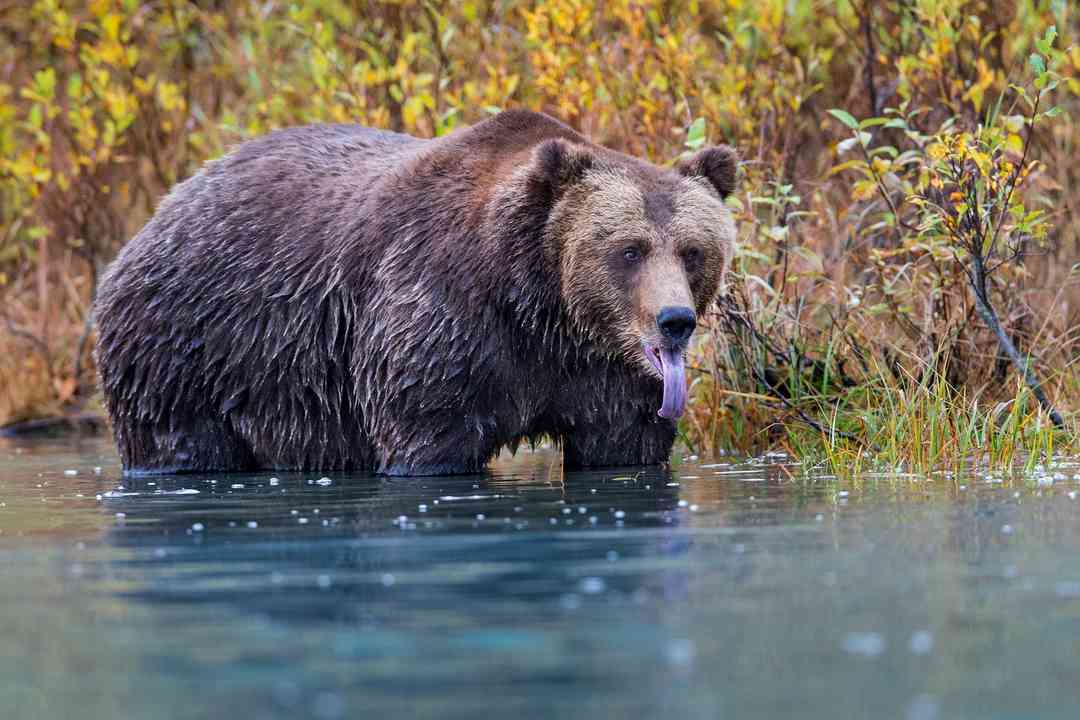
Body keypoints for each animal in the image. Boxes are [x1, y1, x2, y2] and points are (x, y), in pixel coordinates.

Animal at [95, 110, 734, 474]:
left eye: (693, 251)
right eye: (629, 249)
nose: (675, 320)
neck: (538, 303)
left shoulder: (602, 371)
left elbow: (622, 441)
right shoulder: (438, 312)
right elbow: (428, 431)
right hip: (191, 348)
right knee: (178, 439)